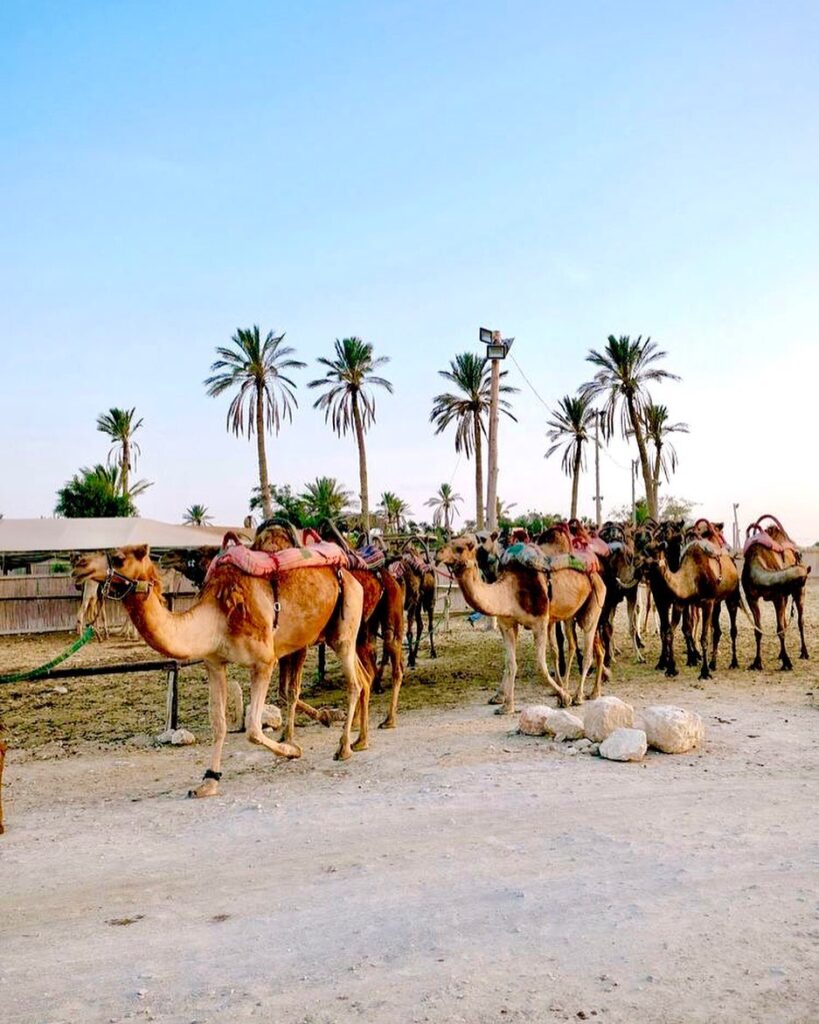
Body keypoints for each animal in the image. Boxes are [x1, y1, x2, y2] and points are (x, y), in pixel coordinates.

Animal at [72, 540, 368, 794]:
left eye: (119, 558)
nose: (78, 563)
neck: (217, 616)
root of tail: (352, 575)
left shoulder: (264, 661)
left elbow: (253, 729)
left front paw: (293, 750)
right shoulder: (214, 663)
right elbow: (219, 724)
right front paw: (208, 782)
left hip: (345, 625)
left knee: (353, 683)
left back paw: (344, 748)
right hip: (332, 633)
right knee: (364, 678)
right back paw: (360, 741)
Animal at [434, 536, 606, 712]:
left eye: (459, 548)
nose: (437, 554)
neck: (510, 592)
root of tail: (598, 576)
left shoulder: (540, 622)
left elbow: (541, 666)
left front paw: (565, 698)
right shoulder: (507, 625)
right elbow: (511, 664)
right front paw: (507, 706)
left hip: (594, 604)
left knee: (588, 651)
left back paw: (578, 696)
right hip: (571, 616)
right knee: (581, 646)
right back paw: (591, 692)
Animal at [638, 520, 741, 679]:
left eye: (653, 552)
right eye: (643, 550)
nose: (640, 567)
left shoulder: (707, 601)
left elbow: (702, 637)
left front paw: (703, 671)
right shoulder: (679, 602)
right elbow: (670, 631)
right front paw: (670, 667)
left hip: (732, 597)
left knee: (733, 629)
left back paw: (733, 662)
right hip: (717, 603)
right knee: (717, 630)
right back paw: (713, 664)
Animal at [737, 512, 810, 671]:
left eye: (803, 580)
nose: (799, 556)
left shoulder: (778, 597)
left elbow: (779, 628)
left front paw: (787, 662)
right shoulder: (752, 598)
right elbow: (758, 629)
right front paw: (757, 662)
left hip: (797, 596)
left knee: (800, 620)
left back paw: (804, 653)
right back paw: (781, 654)